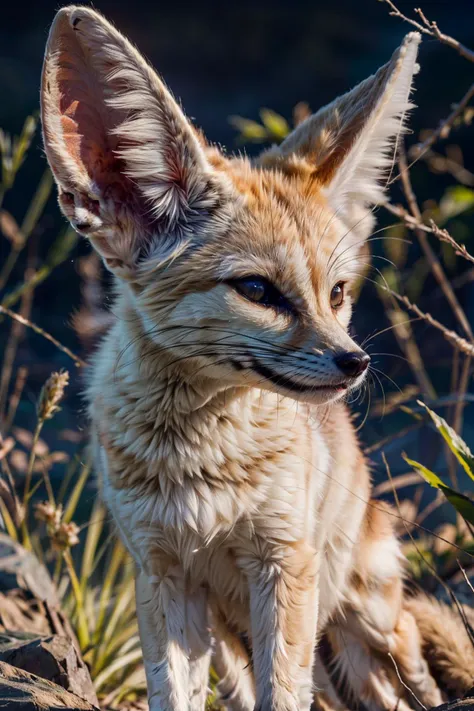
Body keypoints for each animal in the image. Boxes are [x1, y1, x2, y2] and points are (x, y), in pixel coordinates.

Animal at [39, 6, 466, 711]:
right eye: (258, 291)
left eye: (337, 293)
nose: (355, 363)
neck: (200, 468)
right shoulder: (162, 572)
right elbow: (172, 694)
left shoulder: (283, 563)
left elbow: (284, 695)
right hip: (233, 645)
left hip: (371, 625)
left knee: (410, 678)